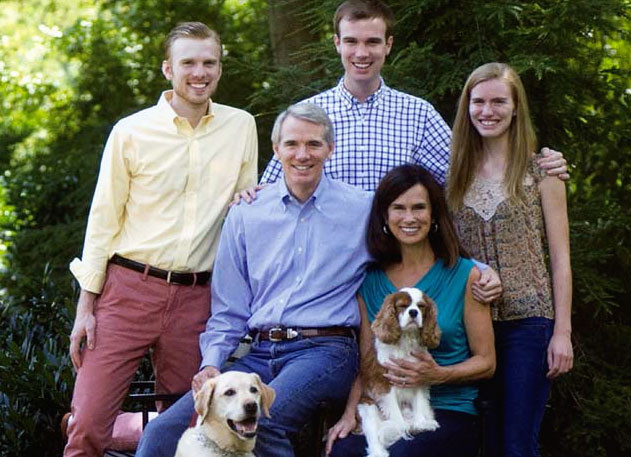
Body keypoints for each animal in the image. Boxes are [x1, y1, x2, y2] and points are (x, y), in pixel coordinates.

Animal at [357, 287, 441, 457]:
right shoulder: (384, 384)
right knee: (373, 434)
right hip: (367, 408)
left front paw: (421, 423)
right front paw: (400, 426)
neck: (406, 340)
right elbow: (395, 413)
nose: (413, 312)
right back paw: (379, 452)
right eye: (403, 306)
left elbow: (420, 402)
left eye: (421, 306)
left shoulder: (419, 377)